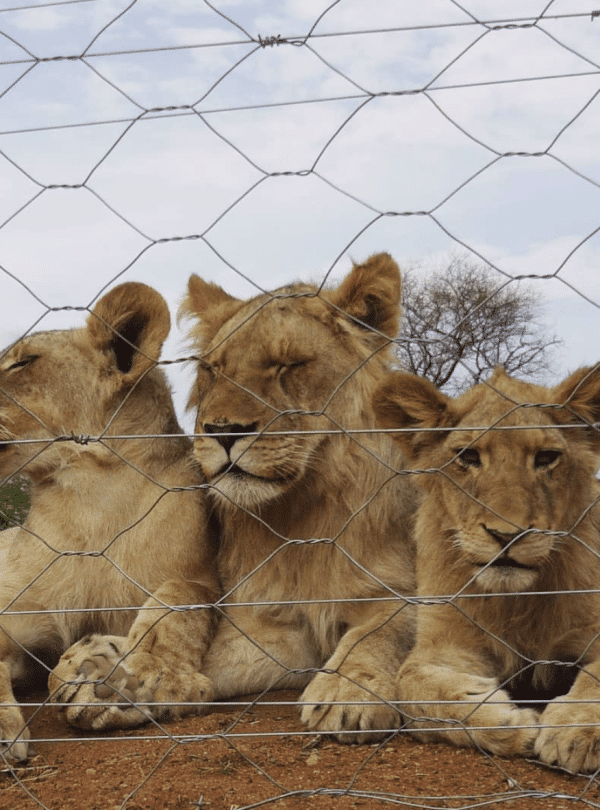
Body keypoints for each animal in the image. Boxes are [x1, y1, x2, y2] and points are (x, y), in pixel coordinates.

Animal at [49, 253, 418, 742]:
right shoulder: (274, 625)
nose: (223, 432)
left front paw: (350, 689)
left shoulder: (415, 591)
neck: (300, 519)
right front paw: (117, 686)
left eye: (287, 365)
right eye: (214, 370)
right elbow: (213, 662)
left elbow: (385, 627)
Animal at [372, 365, 600, 772]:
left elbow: (597, 675)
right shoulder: (447, 642)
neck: (515, 601)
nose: (506, 535)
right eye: (469, 456)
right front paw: (509, 722)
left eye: (546, 457)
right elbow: (408, 684)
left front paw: (574, 729)